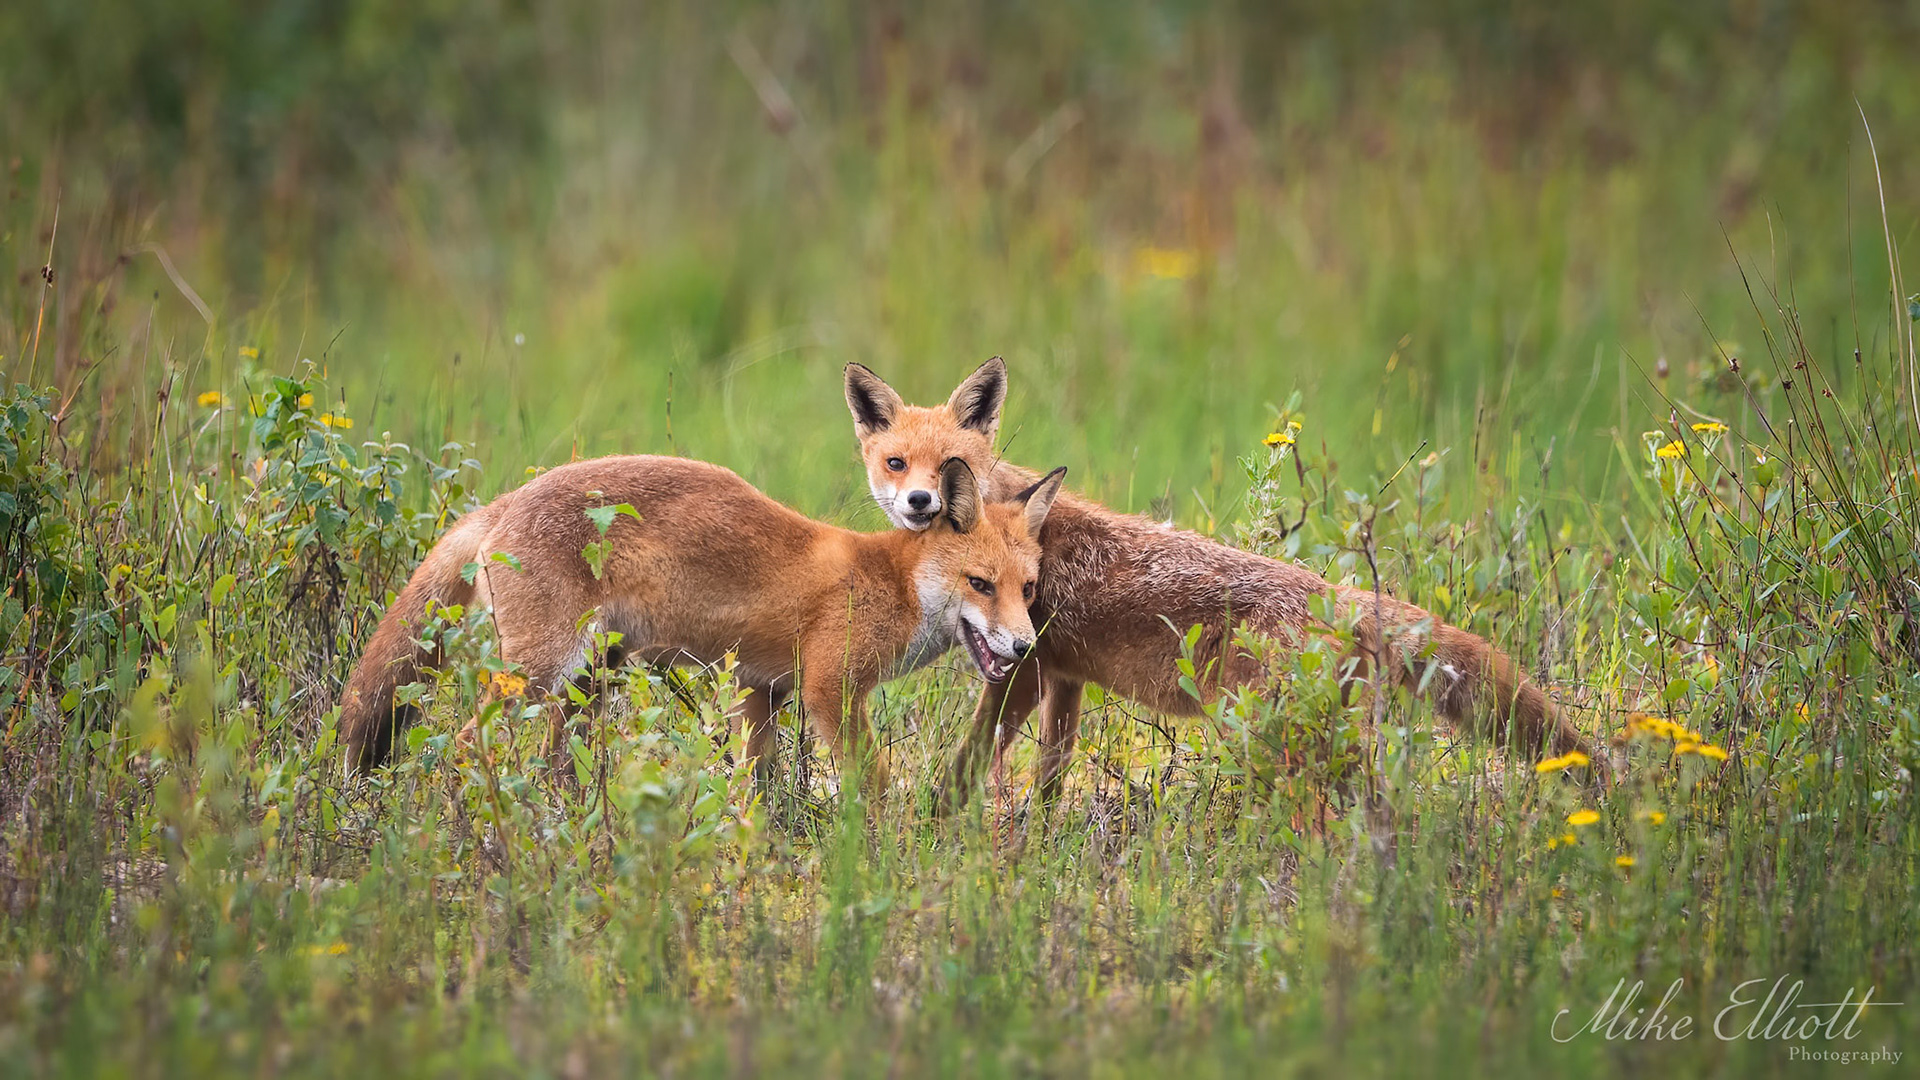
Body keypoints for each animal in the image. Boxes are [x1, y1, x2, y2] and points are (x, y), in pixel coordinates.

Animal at [338, 452, 1067, 796]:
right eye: (980, 585)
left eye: (1027, 589)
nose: (1023, 645)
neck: (888, 581)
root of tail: (501, 503)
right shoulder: (829, 690)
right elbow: (875, 786)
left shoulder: (759, 692)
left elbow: (755, 787)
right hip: (537, 676)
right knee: (459, 748)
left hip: (585, 682)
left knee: (553, 761)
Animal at [844, 358, 1595, 808]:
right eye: (897, 463)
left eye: (954, 465)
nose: (923, 503)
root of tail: (1342, 598)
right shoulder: (1063, 674)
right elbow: (1053, 773)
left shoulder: (1022, 668)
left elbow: (968, 764)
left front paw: (934, 830)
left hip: (1272, 739)